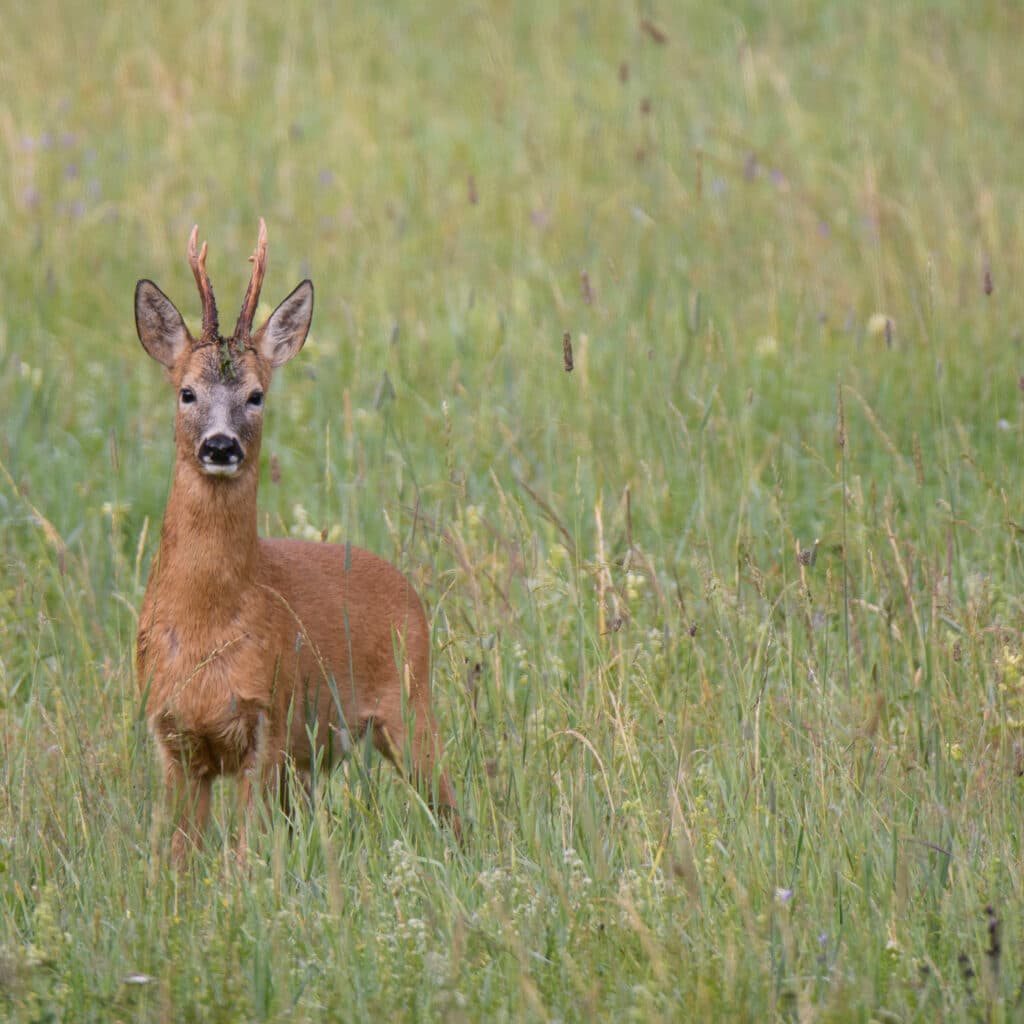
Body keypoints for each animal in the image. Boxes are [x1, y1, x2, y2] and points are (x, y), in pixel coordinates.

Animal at [135, 218, 460, 864]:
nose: (220, 445)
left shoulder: (271, 720)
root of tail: (403, 581)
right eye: (186, 391)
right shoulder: (171, 735)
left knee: (453, 806)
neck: (206, 625)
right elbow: (177, 863)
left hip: (410, 705)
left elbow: (243, 860)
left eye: (256, 395)